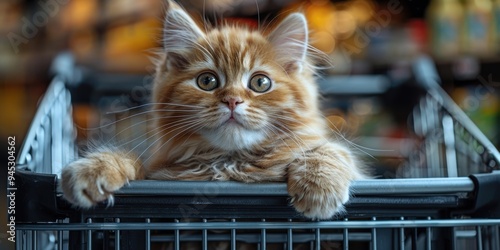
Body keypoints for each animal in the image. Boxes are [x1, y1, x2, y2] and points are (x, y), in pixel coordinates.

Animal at [60, 0, 366, 219]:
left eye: (260, 82)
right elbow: (131, 159)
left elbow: (331, 150)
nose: (232, 100)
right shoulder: (158, 172)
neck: (227, 163)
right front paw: (95, 168)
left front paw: (319, 185)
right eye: (207, 81)